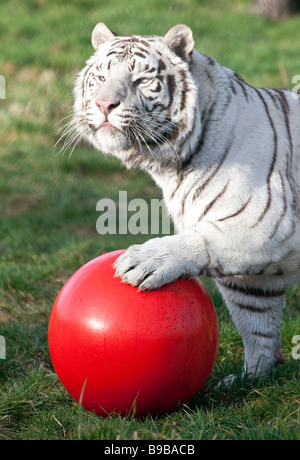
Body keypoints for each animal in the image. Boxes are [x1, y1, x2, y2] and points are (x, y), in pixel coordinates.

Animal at [72, 23, 300, 384]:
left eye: (141, 80)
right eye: (100, 77)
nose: (104, 104)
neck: (171, 165)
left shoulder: (267, 224)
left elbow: (201, 241)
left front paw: (146, 261)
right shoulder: (252, 279)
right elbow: (256, 323)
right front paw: (252, 378)